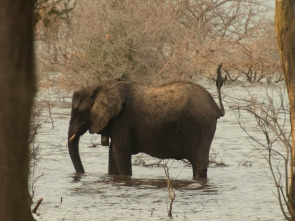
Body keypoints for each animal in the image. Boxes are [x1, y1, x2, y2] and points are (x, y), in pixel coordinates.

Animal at [68, 64, 225, 179]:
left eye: (78, 111)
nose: (82, 174)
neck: (100, 86)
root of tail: (215, 106)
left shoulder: (123, 119)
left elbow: (119, 152)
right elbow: (113, 153)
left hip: (201, 125)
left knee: (199, 164)